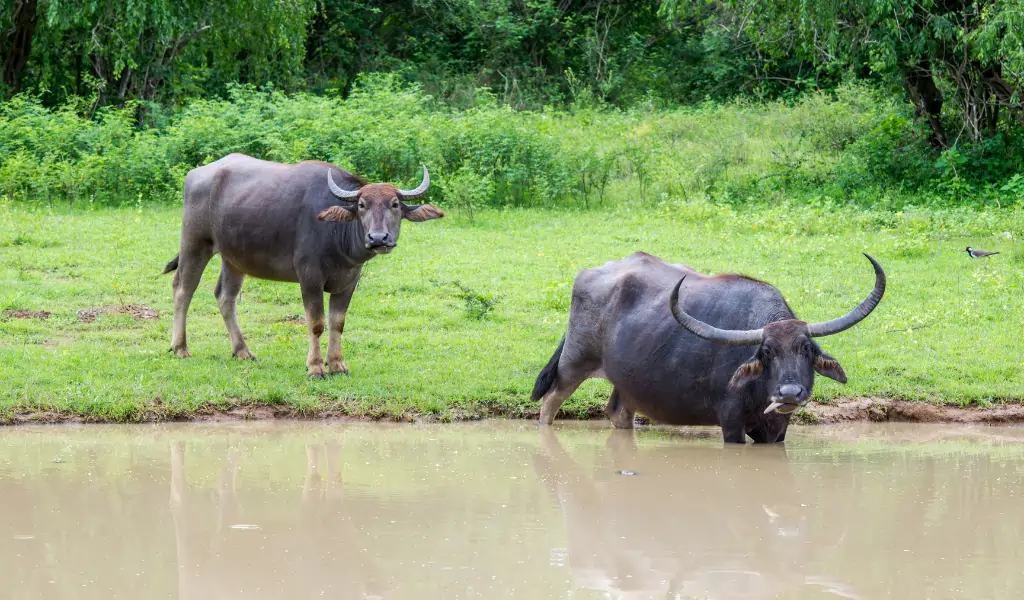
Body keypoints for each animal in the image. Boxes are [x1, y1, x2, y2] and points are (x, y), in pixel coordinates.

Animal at [163, 153, 444, 377]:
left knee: (225, 297)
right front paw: (316, 367)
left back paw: (242, 351)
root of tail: (197, 174)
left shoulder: (348, 282)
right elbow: (316, 323)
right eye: (362, 205)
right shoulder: (310, 277)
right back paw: (180, 347)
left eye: (394, 205)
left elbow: (338, 322)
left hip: (233, 258)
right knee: (183, 289)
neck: (337, 236)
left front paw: (337, 365)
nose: (378, 238)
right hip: (195, 243)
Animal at [532, 252, 885, 443]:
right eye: (767, 352)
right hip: (573, 363)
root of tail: (591, 274)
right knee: (549, 404)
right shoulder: (731, 422)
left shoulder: (776, 429)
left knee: (618, 412)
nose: (789, 394)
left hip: (627, 384)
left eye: (807, 350)